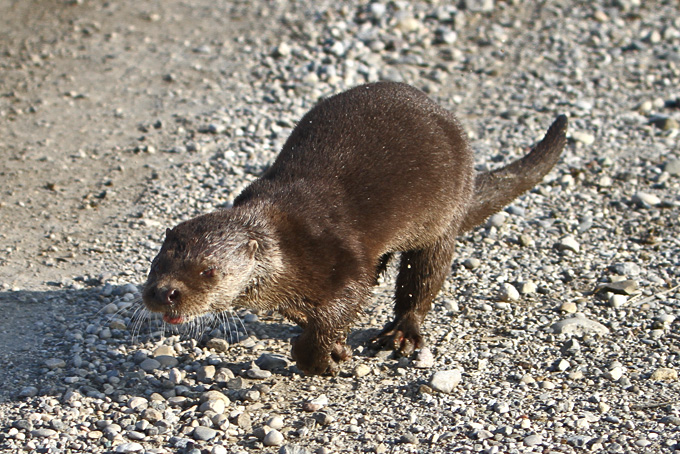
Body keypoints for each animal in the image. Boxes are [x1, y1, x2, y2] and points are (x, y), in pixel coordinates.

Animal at [143, 82, 568, 376]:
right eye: (156, 264)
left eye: (208, 272)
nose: (165, 293)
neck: (284, 248)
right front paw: (335, 347)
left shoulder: (337, 259)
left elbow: (344, 302)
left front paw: (321, 359)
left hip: (442, 221)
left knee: (423, 279)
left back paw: (401, 333)